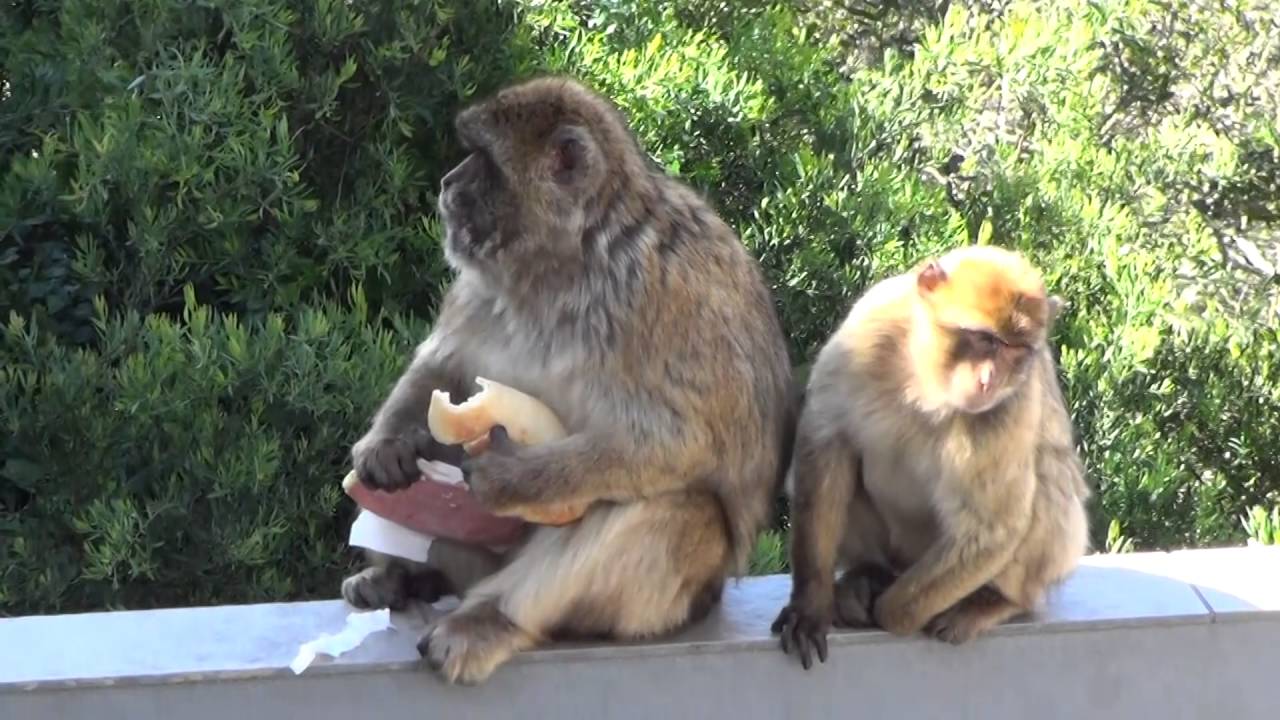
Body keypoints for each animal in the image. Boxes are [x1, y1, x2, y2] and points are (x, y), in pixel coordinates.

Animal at [339, 76, 793, 685]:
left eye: (484, 160)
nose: (448, 182)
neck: (567, 266)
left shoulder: (664, 299)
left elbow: (681, 444)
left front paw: (511, 477)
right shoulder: (482, 288)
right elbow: (445, 363)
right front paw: (386, 444)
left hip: (663, 603)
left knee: (671, 508)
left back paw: (489, 620)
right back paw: (405, 577)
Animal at [771, 244, 1090, 668]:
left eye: (1015, 350)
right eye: (986, 340)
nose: (990, 379)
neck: (925, 382)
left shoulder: (1010, 407)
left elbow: (991, 528)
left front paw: (891, 613)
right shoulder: (864, 335)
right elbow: (824, 446)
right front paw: (811, 603)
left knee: (1047, 483)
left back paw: (996, 601)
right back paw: (869, 573)